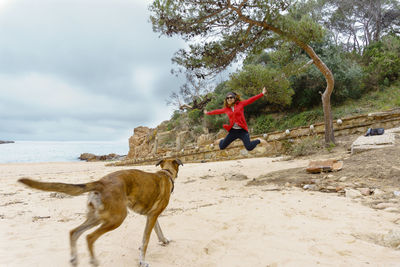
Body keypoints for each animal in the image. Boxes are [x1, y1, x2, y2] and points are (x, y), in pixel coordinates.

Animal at [17, 159, 183, 267]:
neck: (166, 173)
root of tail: (100, 182)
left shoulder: (151, 216)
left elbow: (157, 231)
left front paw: (164, 240)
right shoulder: (153, 216)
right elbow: (145, 241)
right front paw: (142, 261)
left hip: (97, 217)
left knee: (74, 232)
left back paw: (74, 258)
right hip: (117, 218)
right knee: (90, 237)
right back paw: (94, 261)